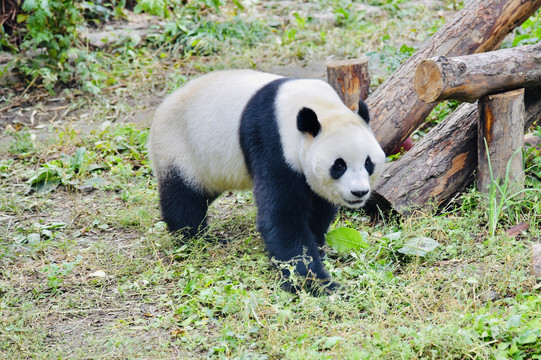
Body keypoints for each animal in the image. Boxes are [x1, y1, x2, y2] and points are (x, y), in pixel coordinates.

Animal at [148, 69, 384, 294]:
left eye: (368, 163)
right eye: (339, 165)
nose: (359, 192)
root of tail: (159, 111)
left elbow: (318, 206)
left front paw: (317, 247)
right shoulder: (271, 142)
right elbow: (282, 215)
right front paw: (316, 282)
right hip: (180, 147)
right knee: (184, 198)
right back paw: (196, 237)